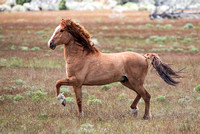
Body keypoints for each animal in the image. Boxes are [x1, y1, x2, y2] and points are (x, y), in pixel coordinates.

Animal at [47, 18, 181, 119]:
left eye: (61, 30)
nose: (50, 44)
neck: (80, 56)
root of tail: (144, 57)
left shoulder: (75, 80)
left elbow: (57, 83)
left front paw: (62, 100)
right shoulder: (77, 84)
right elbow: (79, 100)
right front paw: (80, 115)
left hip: (135, 82)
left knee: (146, 95)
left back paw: (146, 116)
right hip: (127, 81)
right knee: (140, 94)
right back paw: (133, 110)